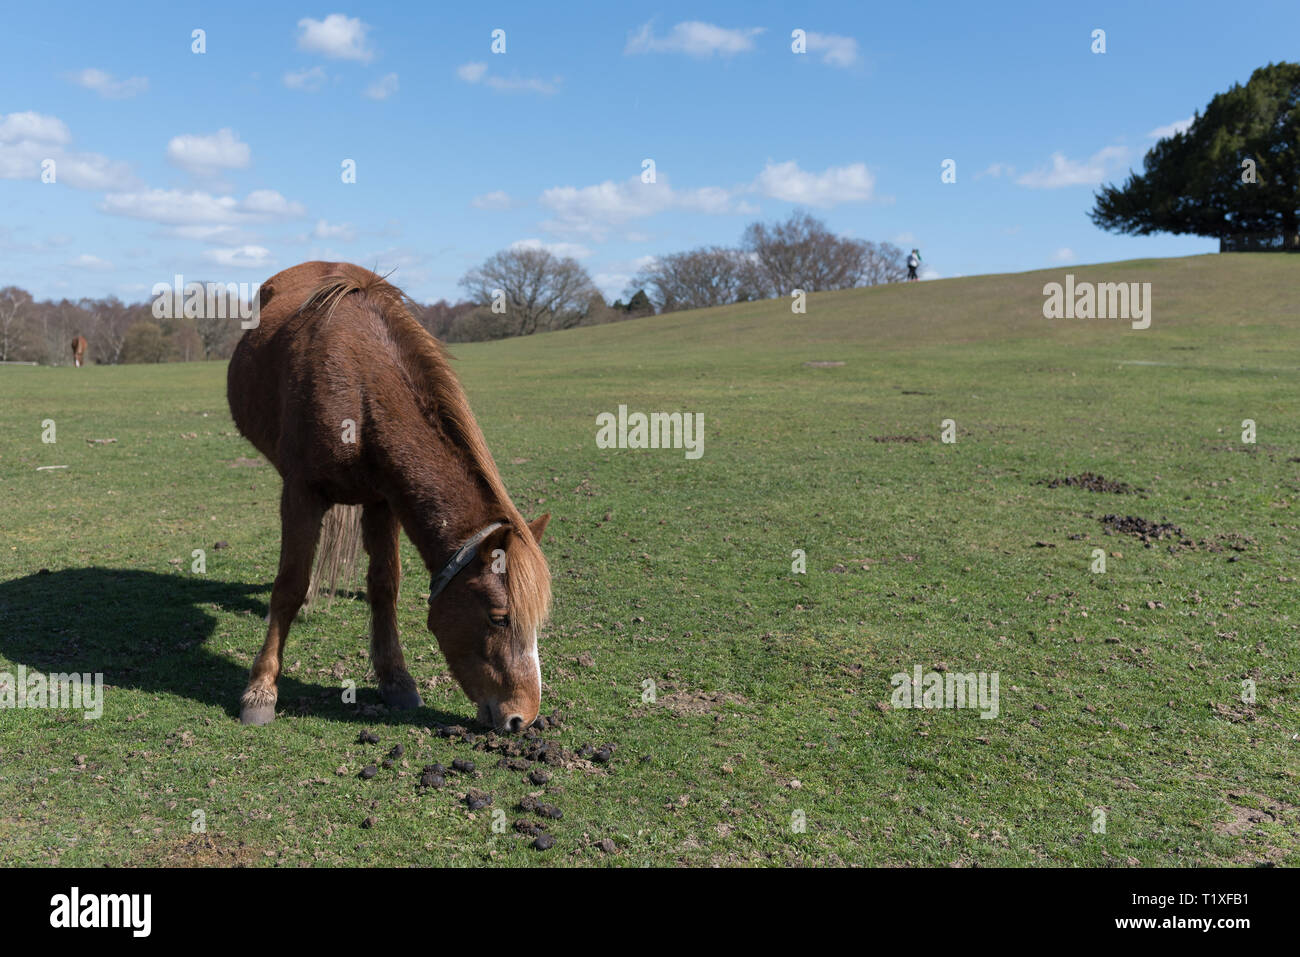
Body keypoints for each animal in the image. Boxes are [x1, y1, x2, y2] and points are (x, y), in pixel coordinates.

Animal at [226, 262, 551, 730]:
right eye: (499, 617)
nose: (522, 718)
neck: (359, 392)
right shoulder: (301, 493)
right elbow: (289, 585)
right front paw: (260, 690)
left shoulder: (384, 501)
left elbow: (384, 585)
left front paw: (396, 679)